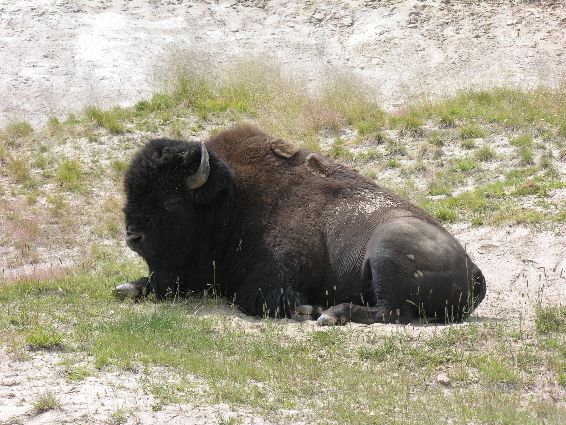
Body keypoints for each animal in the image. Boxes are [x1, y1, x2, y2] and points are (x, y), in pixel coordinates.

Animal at [115, 124, 488, 322]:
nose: (133, 237)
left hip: (386, 250)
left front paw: (308, 308)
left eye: (168, 200)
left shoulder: (277, 276)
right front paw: (126, 287)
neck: (232, 199)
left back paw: (330, 314)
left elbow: (258, 298)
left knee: (389, 311)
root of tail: (474, 270)